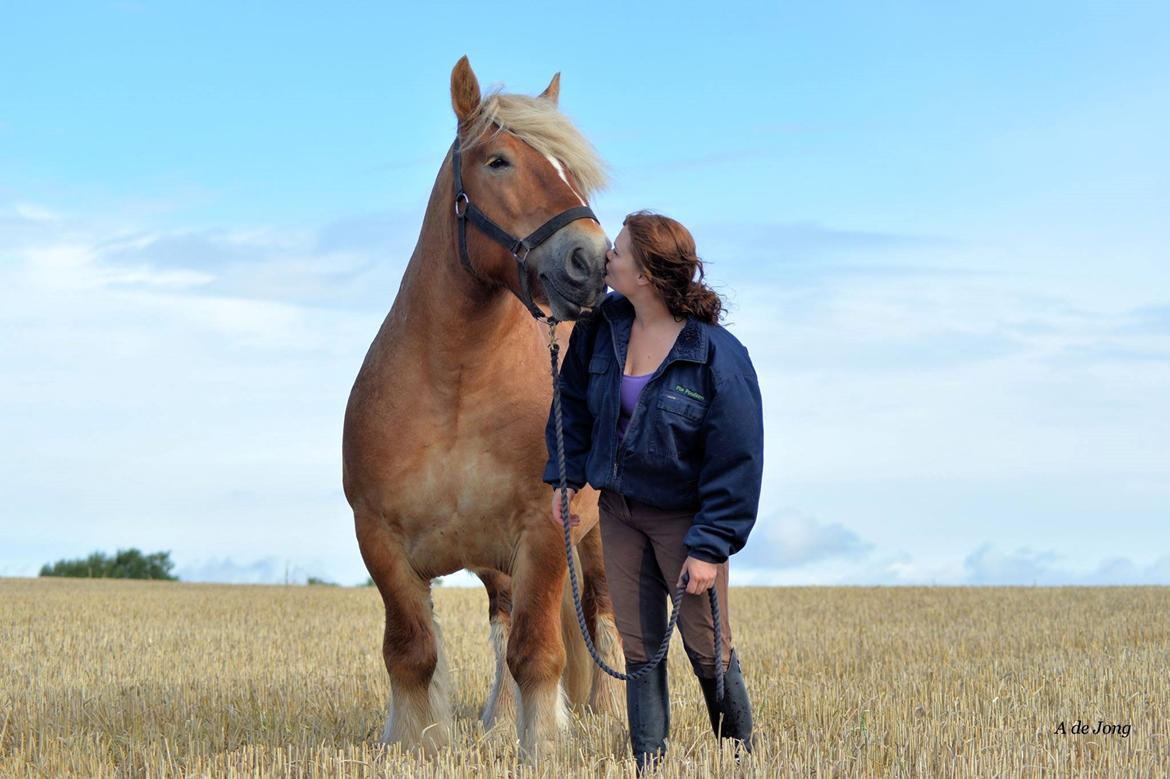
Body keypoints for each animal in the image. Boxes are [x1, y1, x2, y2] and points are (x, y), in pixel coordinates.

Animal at [341, 56, 627, 757]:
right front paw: (416, 744)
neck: (456, 388)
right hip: (494, 562)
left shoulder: (548, 531)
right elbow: (412, 652)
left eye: (570, 170)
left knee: (602, 614)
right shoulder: (379, 539)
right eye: (498, 161)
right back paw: (497, 719)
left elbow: (539, 652)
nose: (591, 262)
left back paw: (605, 714)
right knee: (502, 621)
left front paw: (544, 746)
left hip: (596, 538)